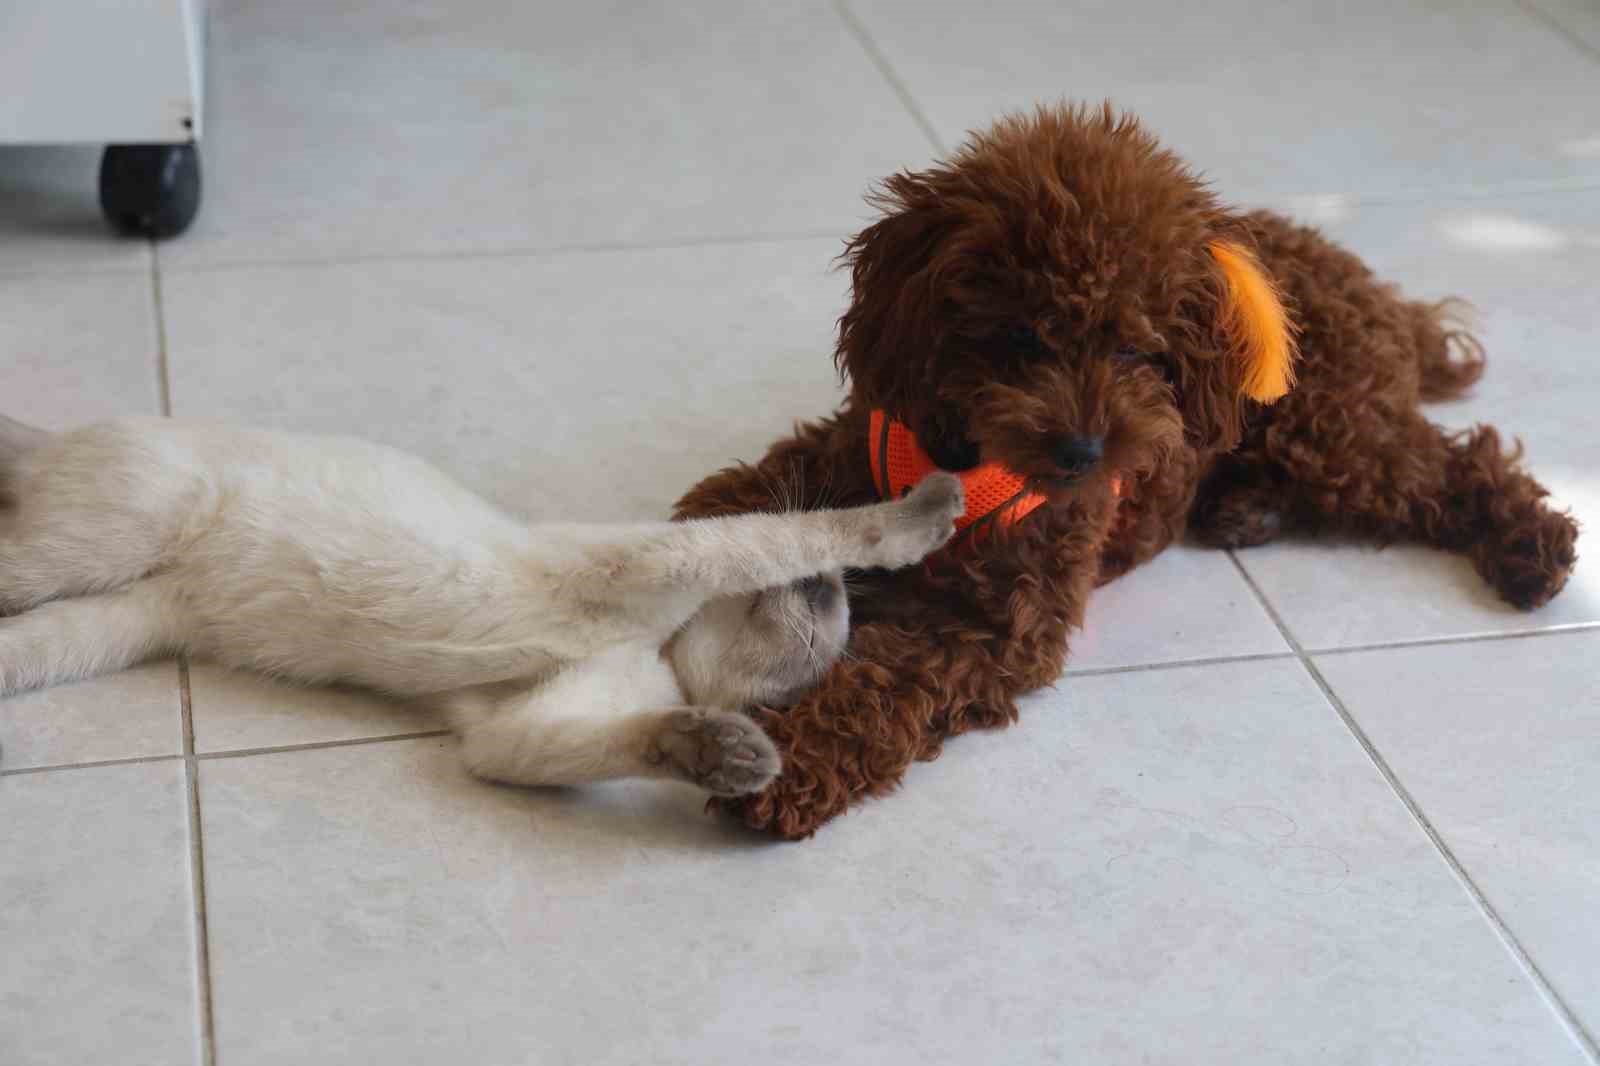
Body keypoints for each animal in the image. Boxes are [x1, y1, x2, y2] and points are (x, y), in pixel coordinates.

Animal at [0, 409, 960, 793]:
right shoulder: (645, 565)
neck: (655, 656)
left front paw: (732, 759)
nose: (827, 595)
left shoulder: (507, 733)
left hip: (106, 627)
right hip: (104, 539)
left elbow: (608, 743)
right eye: (825, 620)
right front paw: (931, 510)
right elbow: (804, 530)